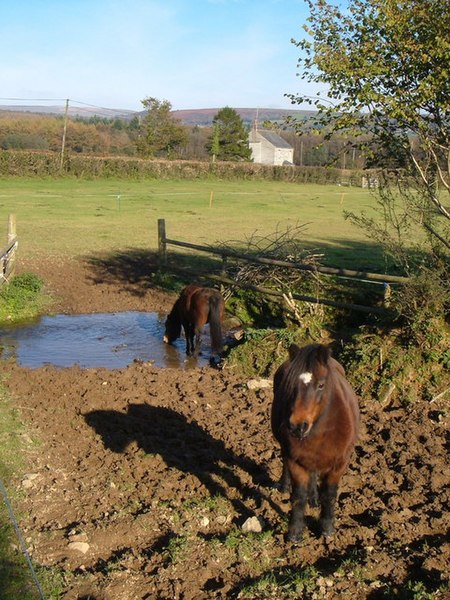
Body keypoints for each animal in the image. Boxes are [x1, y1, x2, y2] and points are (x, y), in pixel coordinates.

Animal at [270, 342, 358, 544]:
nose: (297, 426)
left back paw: (314, 499)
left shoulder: (339, 464)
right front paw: (295, 532)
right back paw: (284, 486)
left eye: (321, 385)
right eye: (291, 385)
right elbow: (298, 496)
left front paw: (327, 528)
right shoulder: (296, 461)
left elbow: (329, 494)